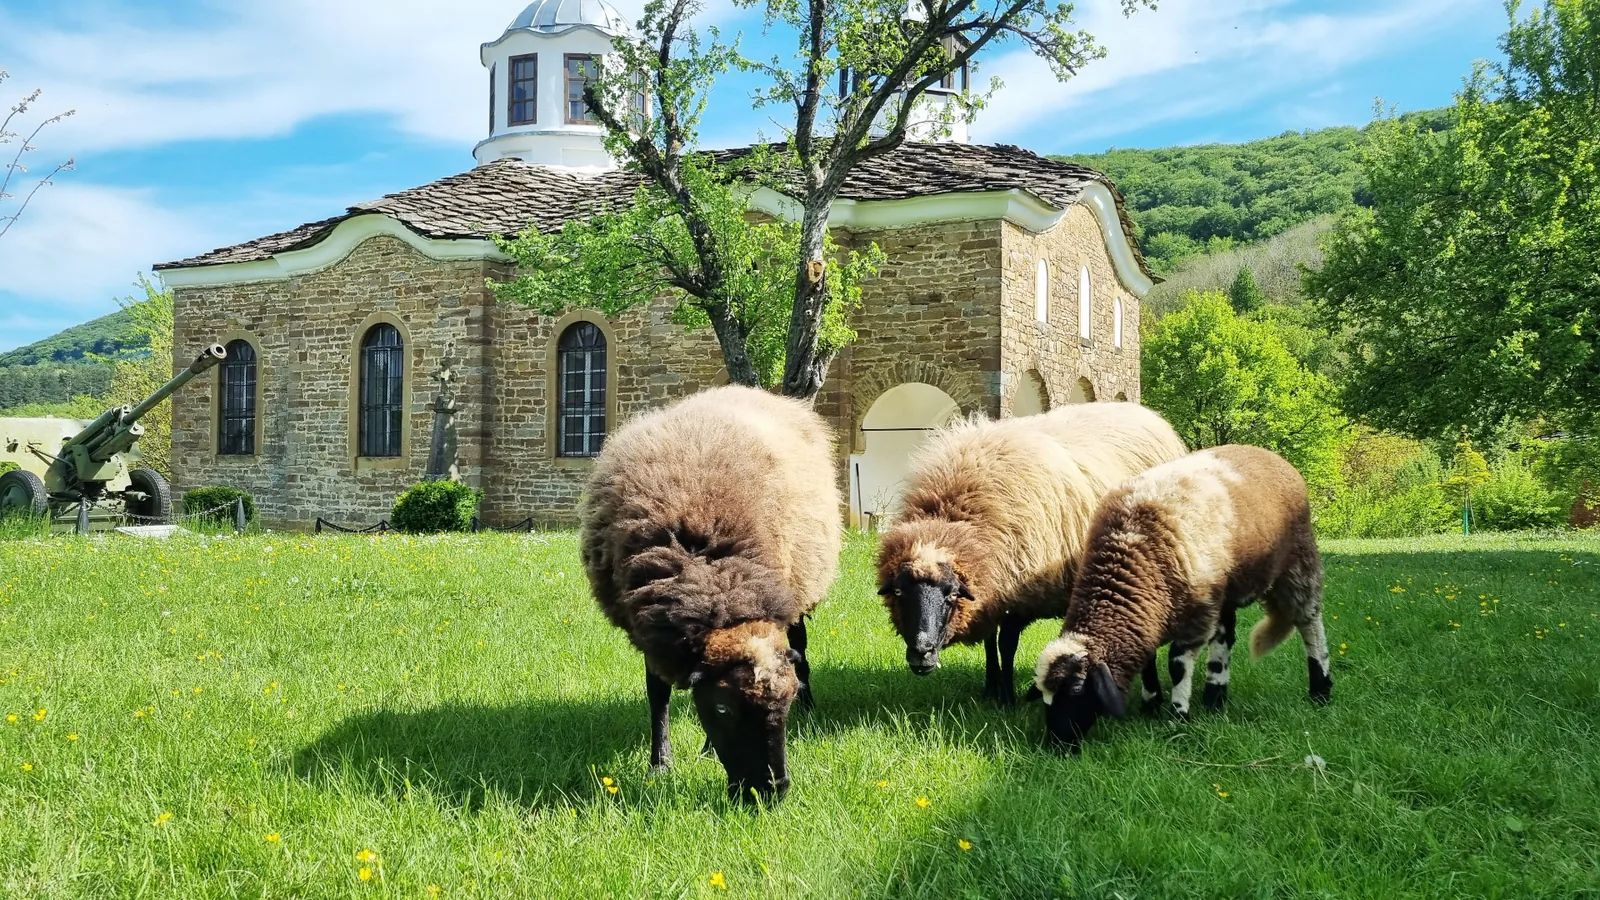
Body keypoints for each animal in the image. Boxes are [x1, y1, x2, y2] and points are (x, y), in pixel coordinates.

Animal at [579, 385, 842, 801]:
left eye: (787, 700)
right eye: (722, 710)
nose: (771, 791)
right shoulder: (652, 628)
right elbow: (657, 693)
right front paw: (660, 763)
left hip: (801, 583)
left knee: (801, 644)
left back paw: (810, 707)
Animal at [876, 401, 1188, 704]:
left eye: (951, 594)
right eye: (899, 592)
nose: (922, 652)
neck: (958, 516)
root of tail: (1148, 414)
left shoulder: (1019, 595)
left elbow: (1006, 645)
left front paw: (1007, 696)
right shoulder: (991, 595)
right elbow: (990, 642)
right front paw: (990, 688)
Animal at [1031, 444, 1332, 751]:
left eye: (1077, 688)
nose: (1057, 745)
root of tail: (1272, 457)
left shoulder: (1196, 616)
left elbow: (1177, 664)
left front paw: (1178, 717)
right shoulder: (1151, 616)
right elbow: (1149, 659)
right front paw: (1151, 704)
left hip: (1298, 561)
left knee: (1309, 622)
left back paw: (1320, 690)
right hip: (1226, 591)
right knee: (1225, 637)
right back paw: (1214, 698)